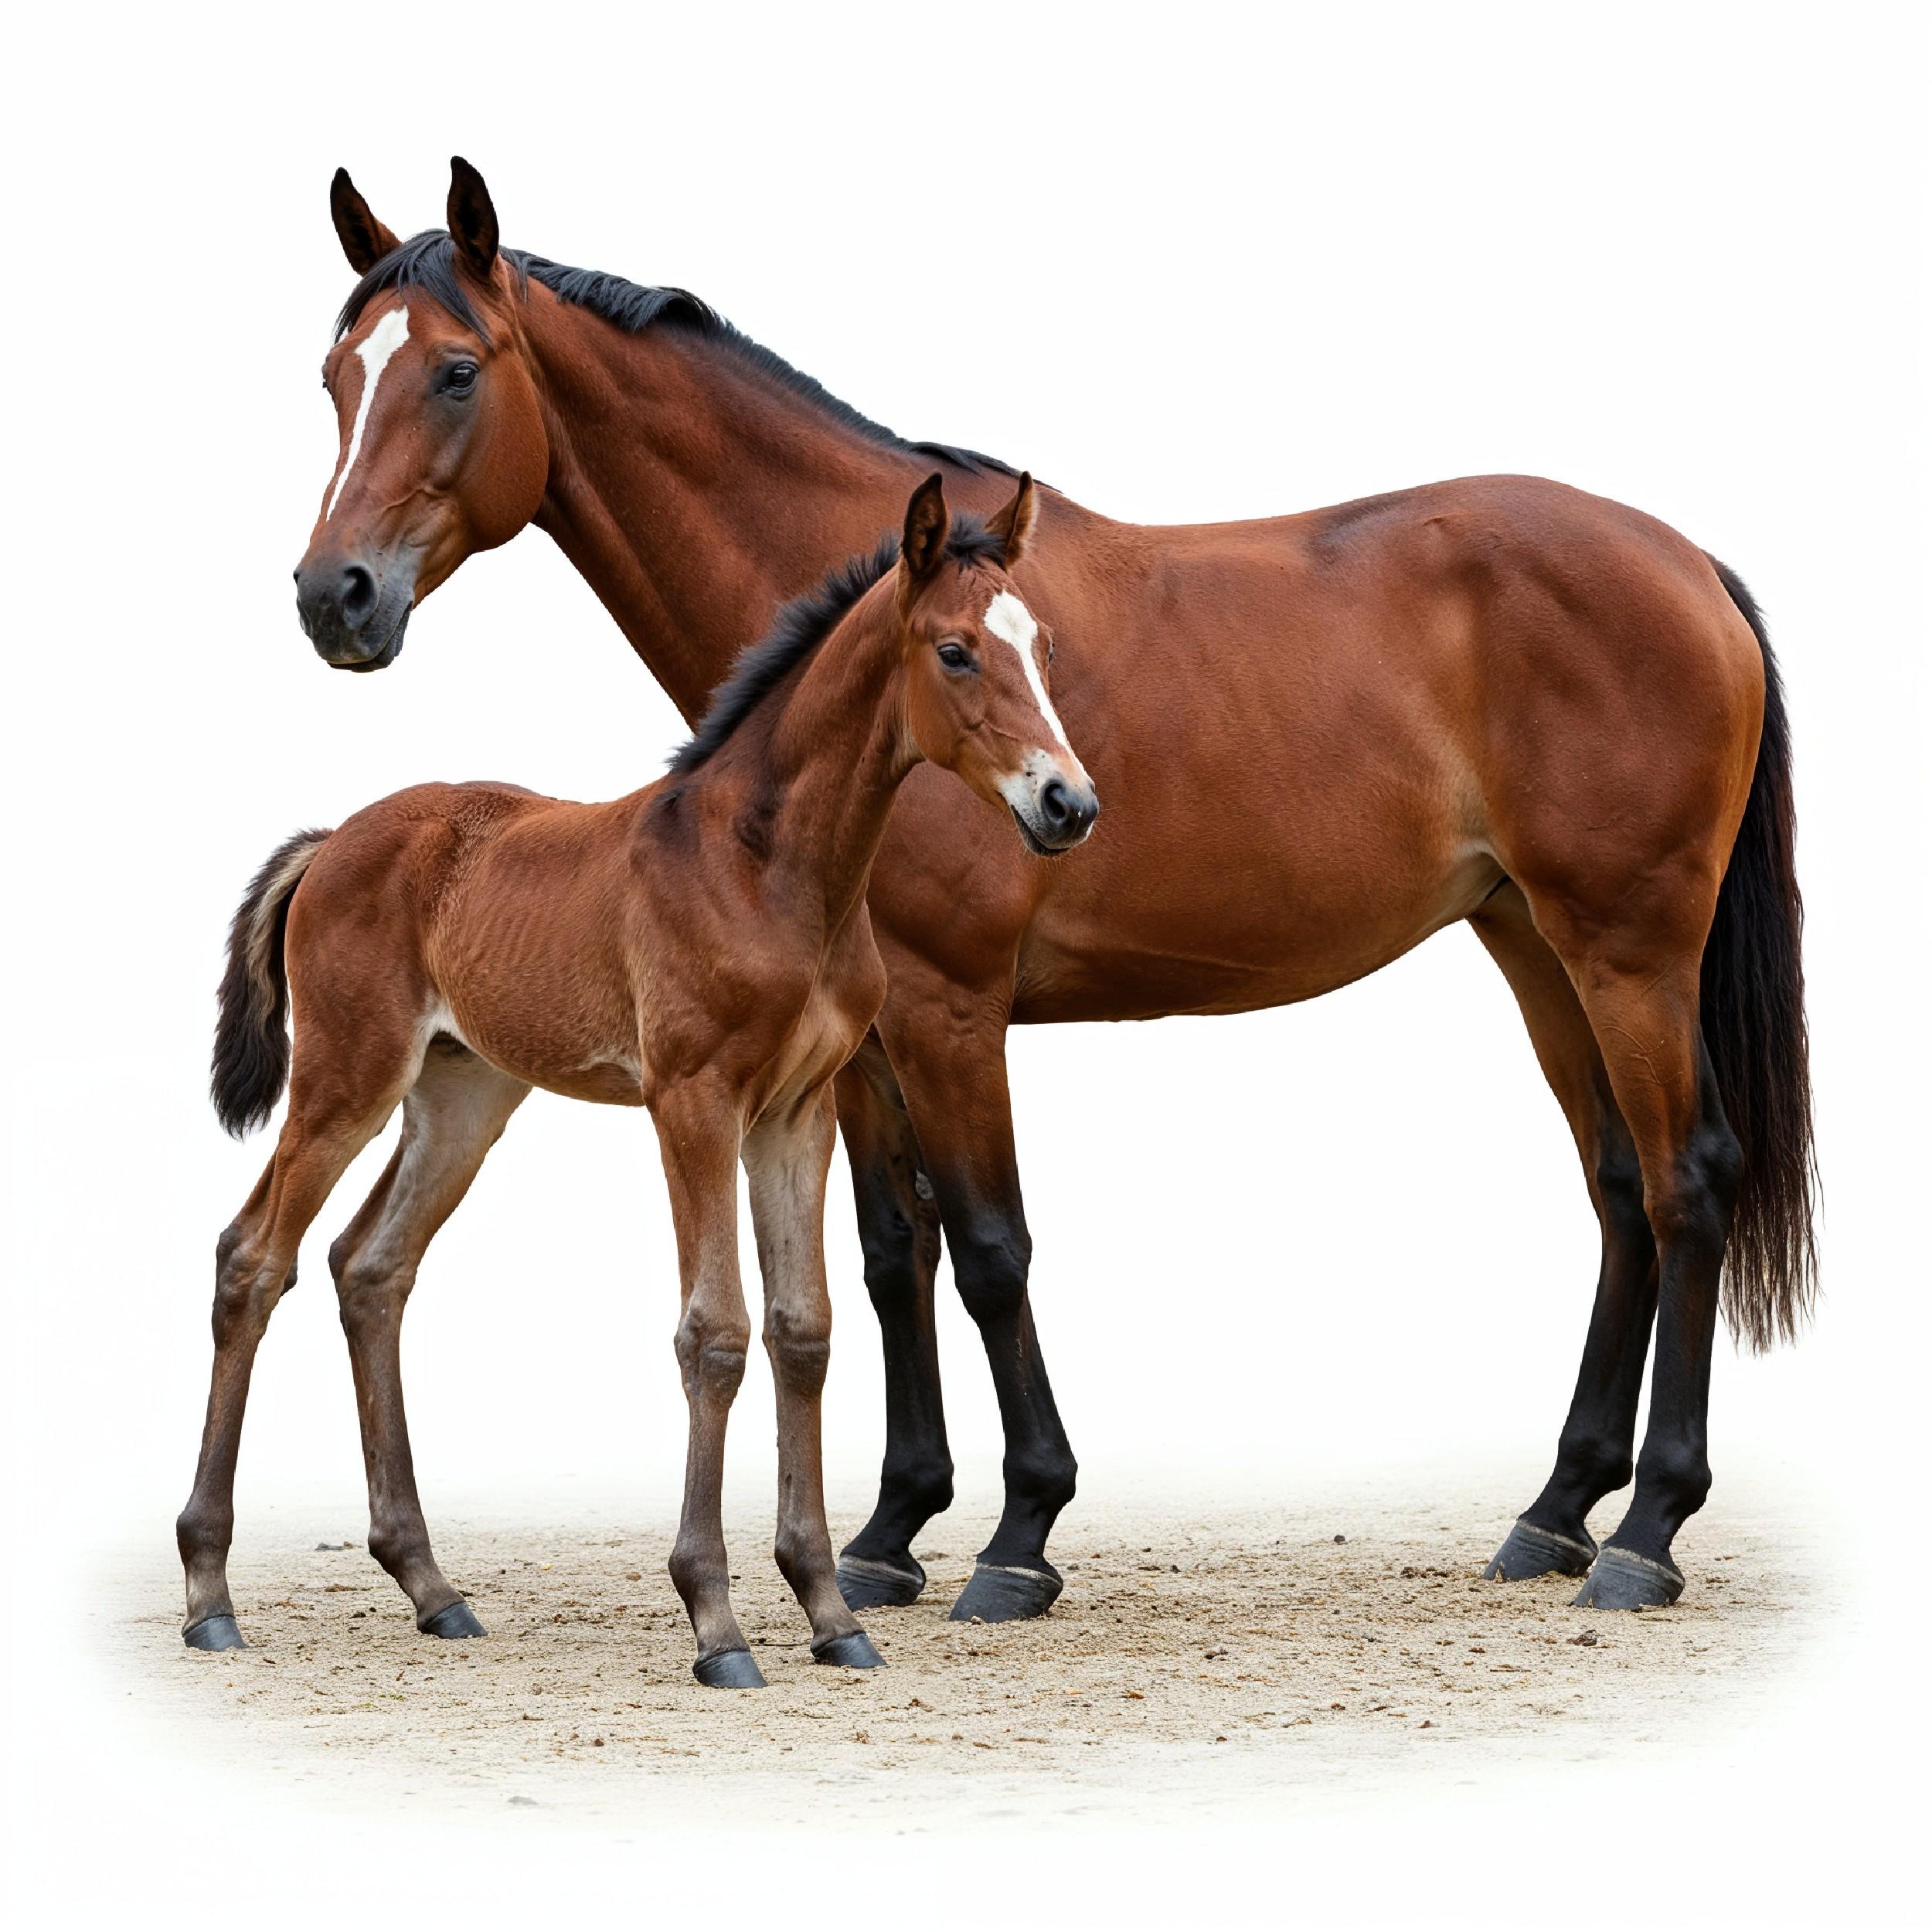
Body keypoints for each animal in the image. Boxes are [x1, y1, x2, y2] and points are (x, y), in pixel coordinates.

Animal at [180, 473, 1098, 1684]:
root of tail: (335, 839)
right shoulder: (692, 1101)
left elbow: (803, 1330)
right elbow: (714, 1334)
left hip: (462, 1097)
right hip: (347, 1077)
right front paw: (716, 1623)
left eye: (1043, 646)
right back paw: (208, 1592)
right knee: (253, 1258)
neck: (767, 866)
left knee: (369, 1268)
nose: (1069, 805)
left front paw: (831, 1613)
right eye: (954, 651)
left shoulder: (796, 1112)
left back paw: (432, 1588)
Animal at [293, 159, 1815, 1624]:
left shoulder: (952, 1011)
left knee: (1687, 1182)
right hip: (1533, 942)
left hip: (1630, 952)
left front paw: (1018, 1537)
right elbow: (887, 1256)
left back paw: (1647, 1534)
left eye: (454, 371)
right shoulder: (858, 1040)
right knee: (1617, 1186)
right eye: (333, 376)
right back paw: (1557, 1514)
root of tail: (1691, 568)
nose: (333, 596)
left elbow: (988, 1248)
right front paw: (888, 1534)